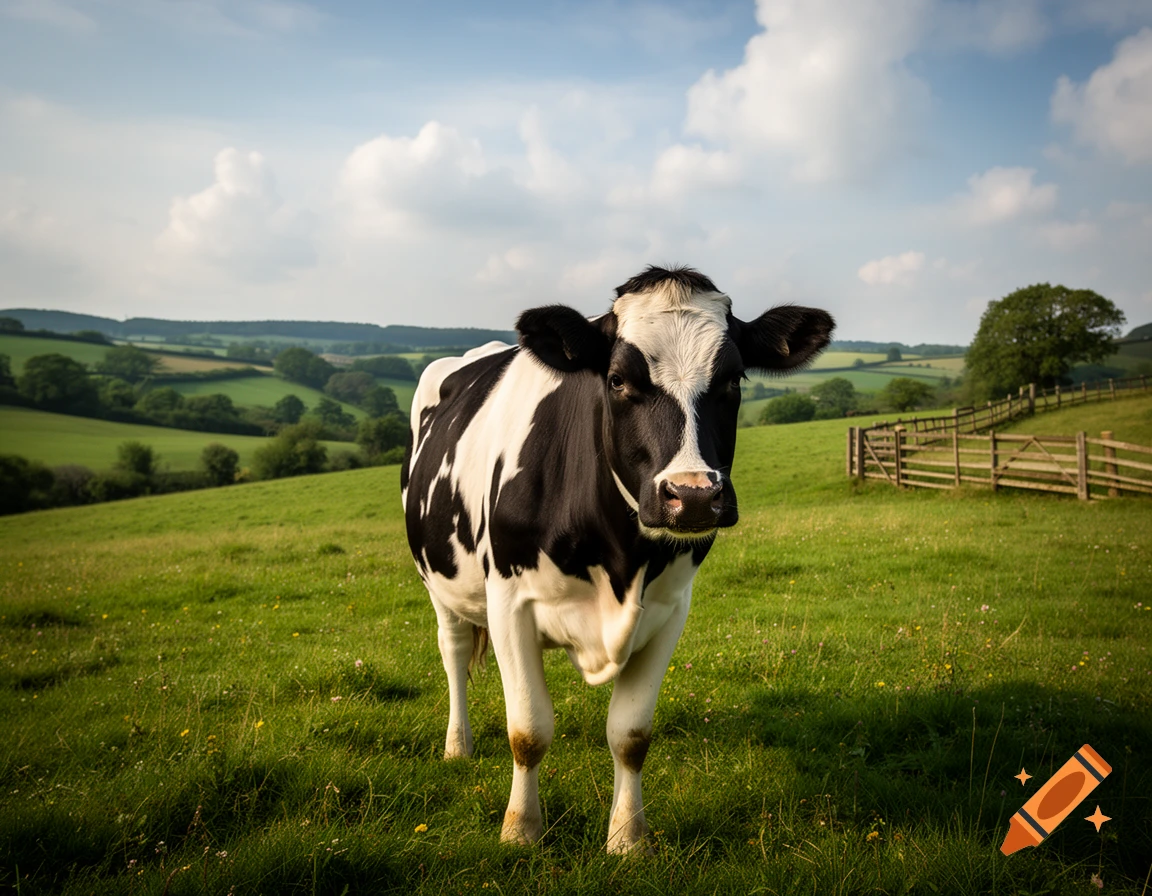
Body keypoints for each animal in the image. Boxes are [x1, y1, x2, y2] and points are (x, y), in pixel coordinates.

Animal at [402, 266, 833, 853]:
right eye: (616, 380)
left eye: (734, 379)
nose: (692, 495)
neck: (618, 564)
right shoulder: (509, 602)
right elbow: (528, 730)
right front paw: (521, 830)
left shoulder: (670, 611)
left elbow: (630, 735)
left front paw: (628, 839)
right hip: (440, 583)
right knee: (453, 653)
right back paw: (458, 745)